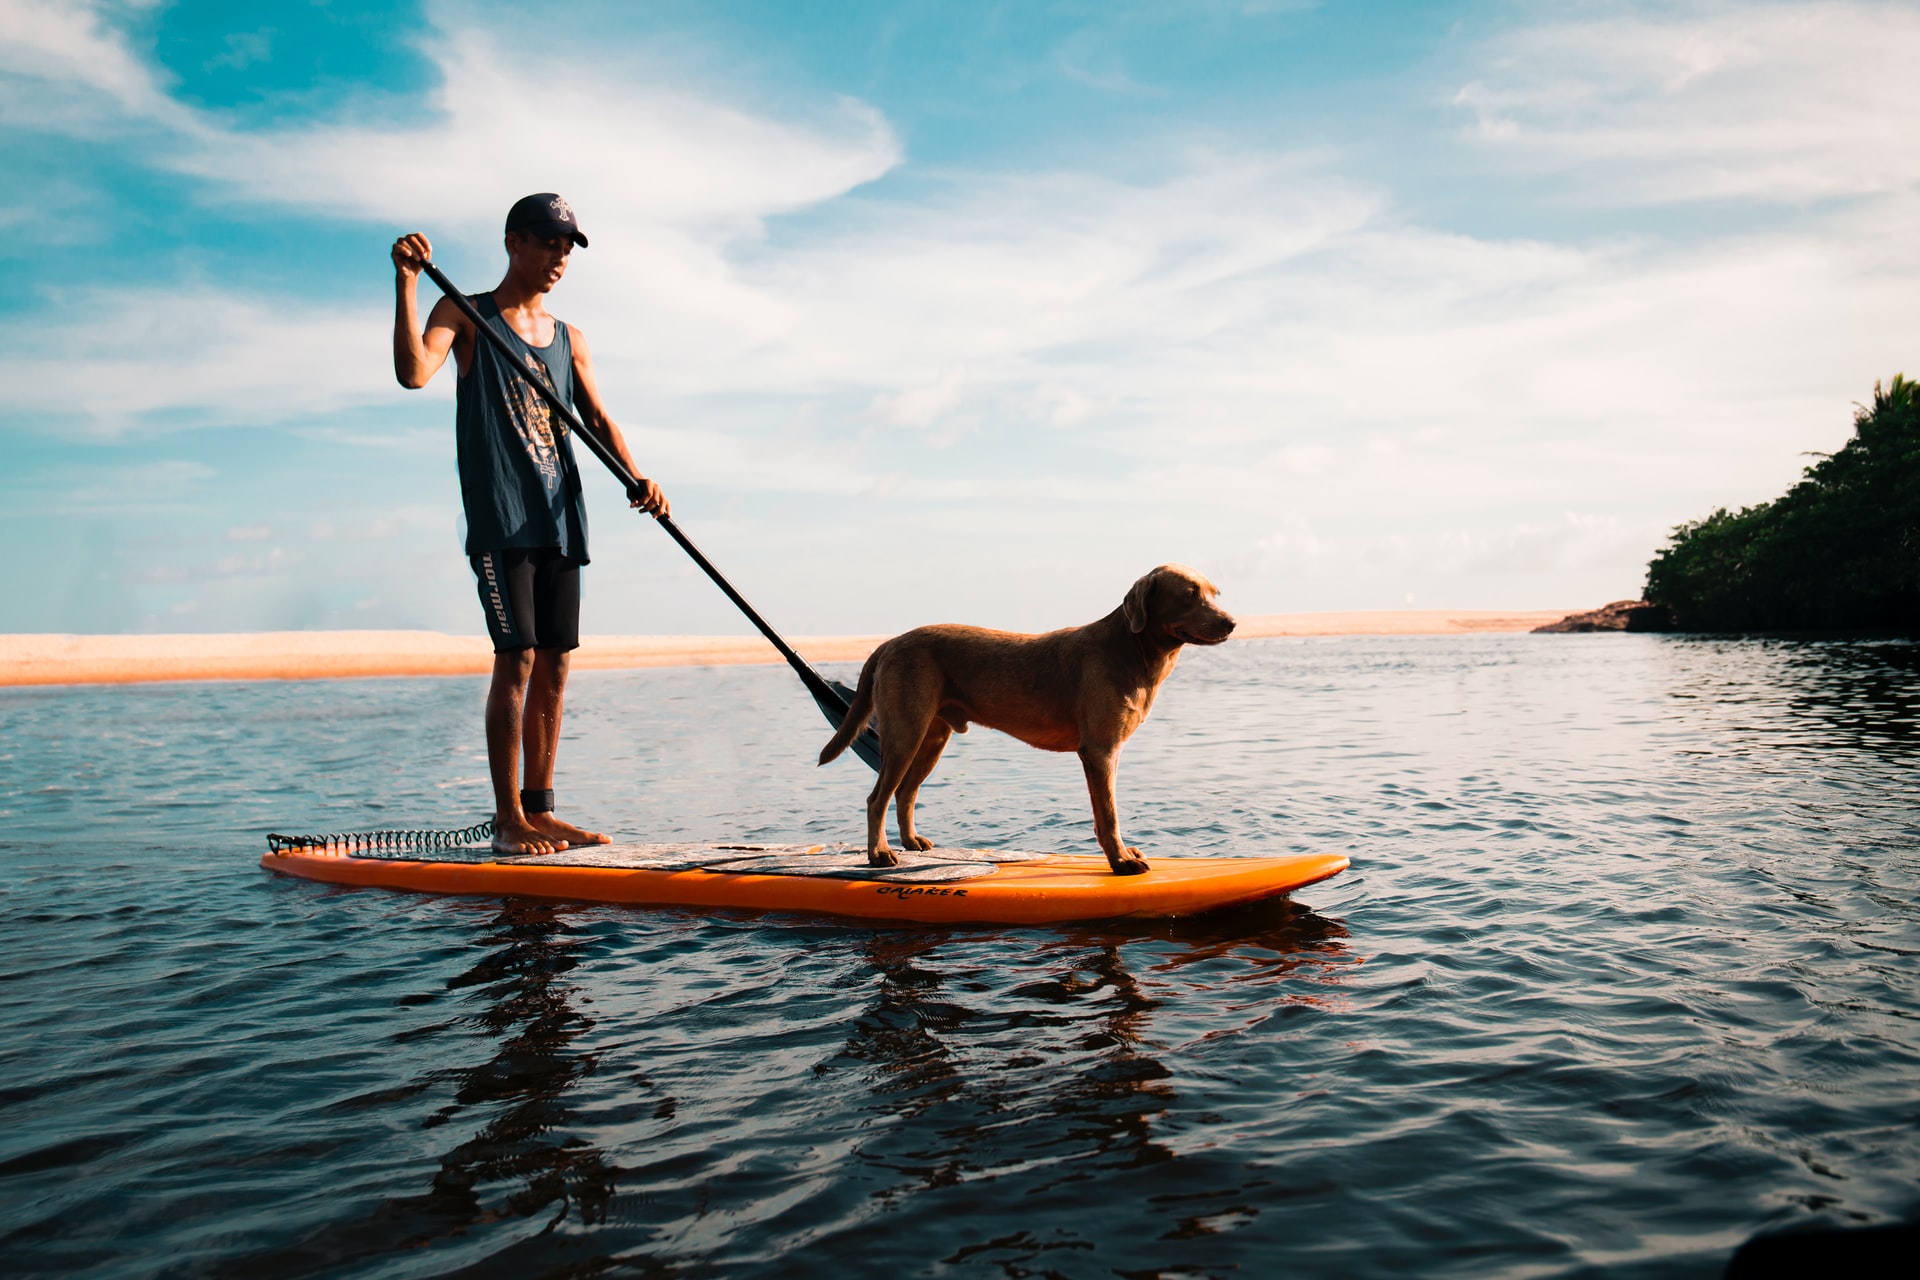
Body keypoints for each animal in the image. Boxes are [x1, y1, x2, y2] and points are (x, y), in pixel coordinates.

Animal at [817, 564, 1236, 875]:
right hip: (905, 732)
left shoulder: (1108, 751)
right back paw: (879, 854)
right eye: (1188, 594)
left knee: (905, 792)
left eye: (1214, 593)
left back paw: (911, 843)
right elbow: (1109, 815)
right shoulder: (1100, 751)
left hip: (932, 737)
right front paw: (1120, 861)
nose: (1231, 622)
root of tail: (889, 642)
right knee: (877, 798)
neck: (1133, 651)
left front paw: (1124, 855)